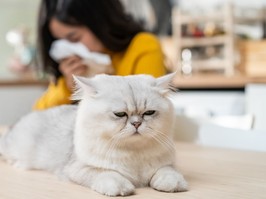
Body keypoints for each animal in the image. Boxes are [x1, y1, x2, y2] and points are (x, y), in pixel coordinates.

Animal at [0, 73, 187, 196]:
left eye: (149, 113)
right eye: (120, 114)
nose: (136, 124)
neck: (133, 154)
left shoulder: (167, 164)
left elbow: (168, 172)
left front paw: (172, 185)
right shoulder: (77, 168)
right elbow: (106, 173)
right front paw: (122, 188)